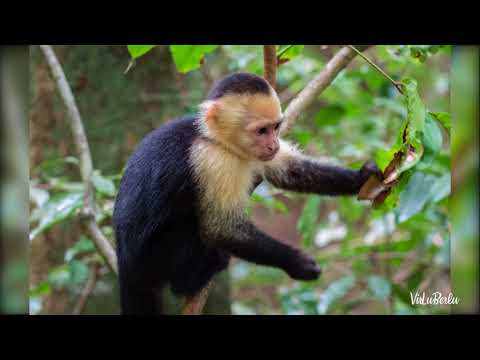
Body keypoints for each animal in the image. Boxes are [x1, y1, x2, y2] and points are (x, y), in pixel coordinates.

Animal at [113, 71, 382, 314]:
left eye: (275, 127)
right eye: (261, 131)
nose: (273, 144)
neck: (213, 139)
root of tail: (125, 266)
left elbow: (290, 172)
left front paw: (362, 177)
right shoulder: (212, 161)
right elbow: (221, 228)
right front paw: (296, 262)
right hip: (153, 257)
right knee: (189, 226)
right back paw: (192, 279)